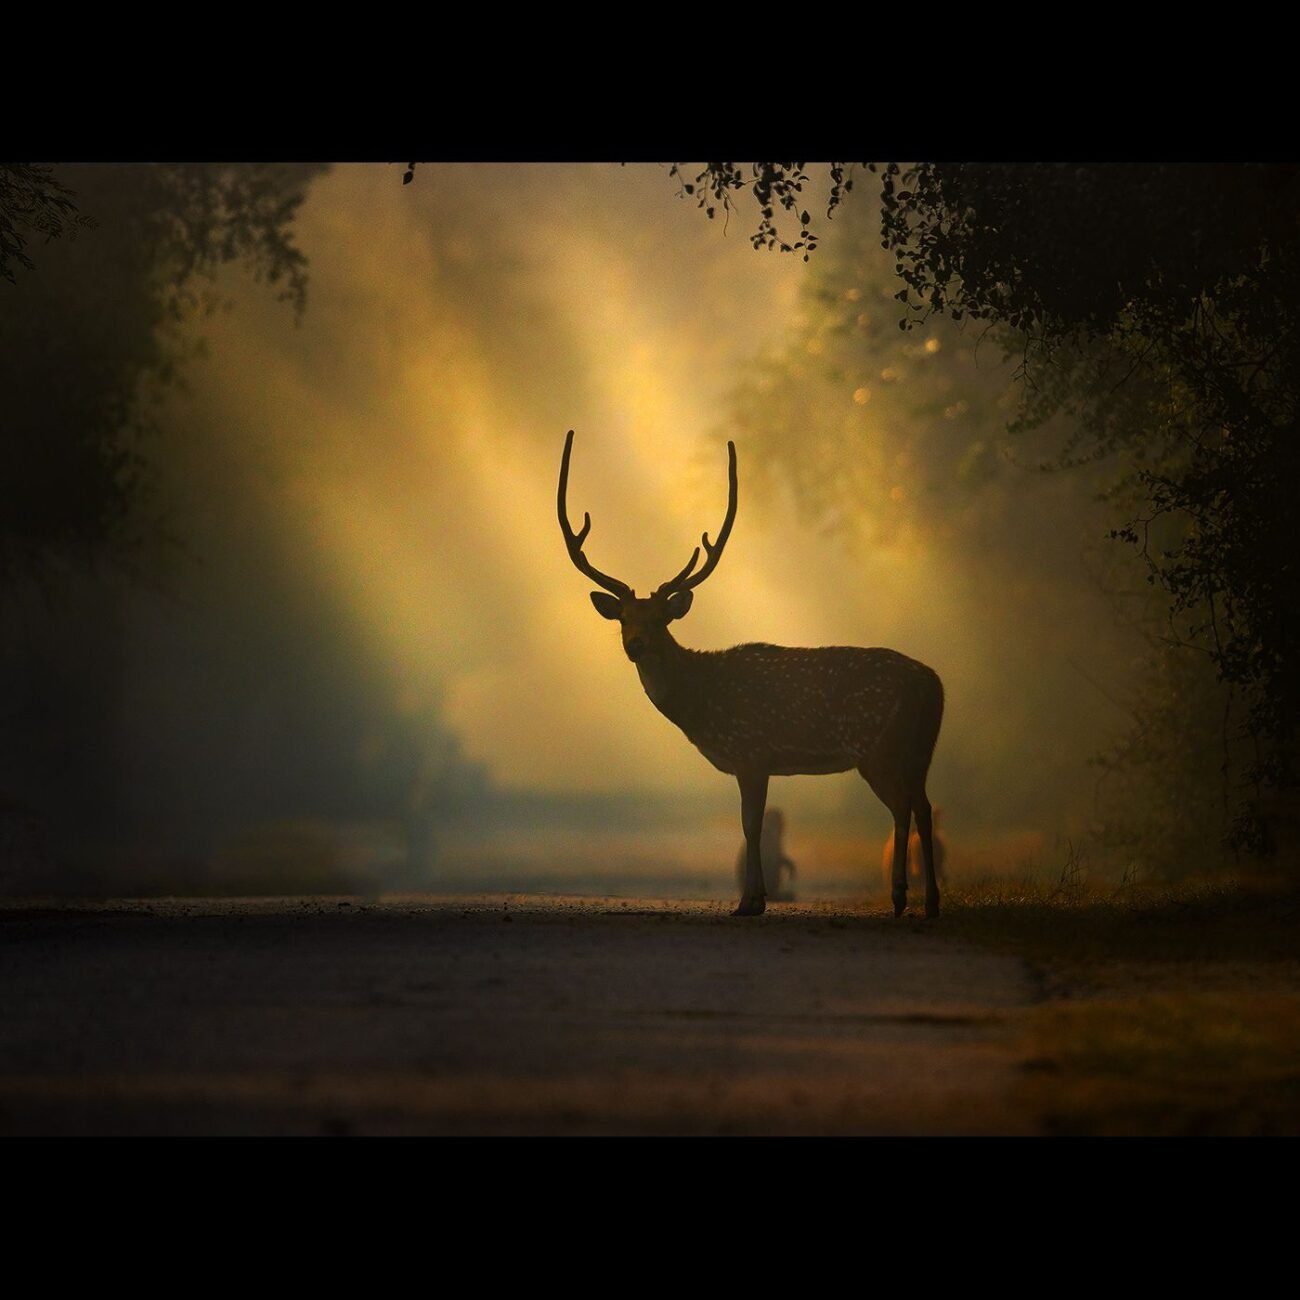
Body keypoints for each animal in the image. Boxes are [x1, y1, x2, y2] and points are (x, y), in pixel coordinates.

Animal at [558, 430, 945, 919]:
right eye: (624, 618)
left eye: (661, 619)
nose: (636, 645)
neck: (702, 705)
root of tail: (933, 684)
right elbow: (753, 823)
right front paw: (755, 897)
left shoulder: (750, 750)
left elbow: (750, 823)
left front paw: (749, 901)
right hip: (919, 750)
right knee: (924, 807)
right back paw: (930, 902)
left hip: (879, 746)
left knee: (902, 807)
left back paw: (900, 898)